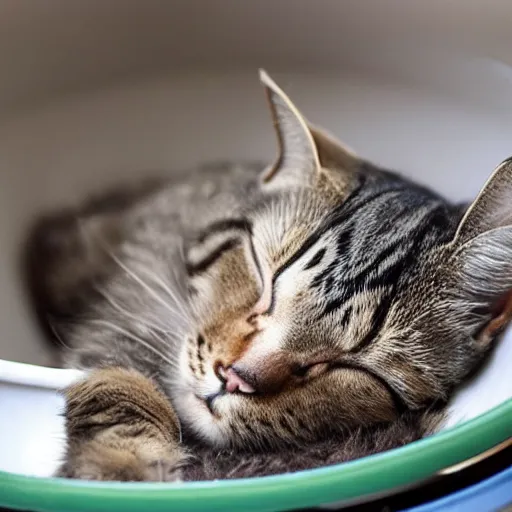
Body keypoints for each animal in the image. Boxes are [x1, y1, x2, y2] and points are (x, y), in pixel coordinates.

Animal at [25, 71, 512, 480]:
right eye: (262, 274)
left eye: (353, 365)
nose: (235, 378)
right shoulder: (127, 315)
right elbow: (122, 386)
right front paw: (124, 467)